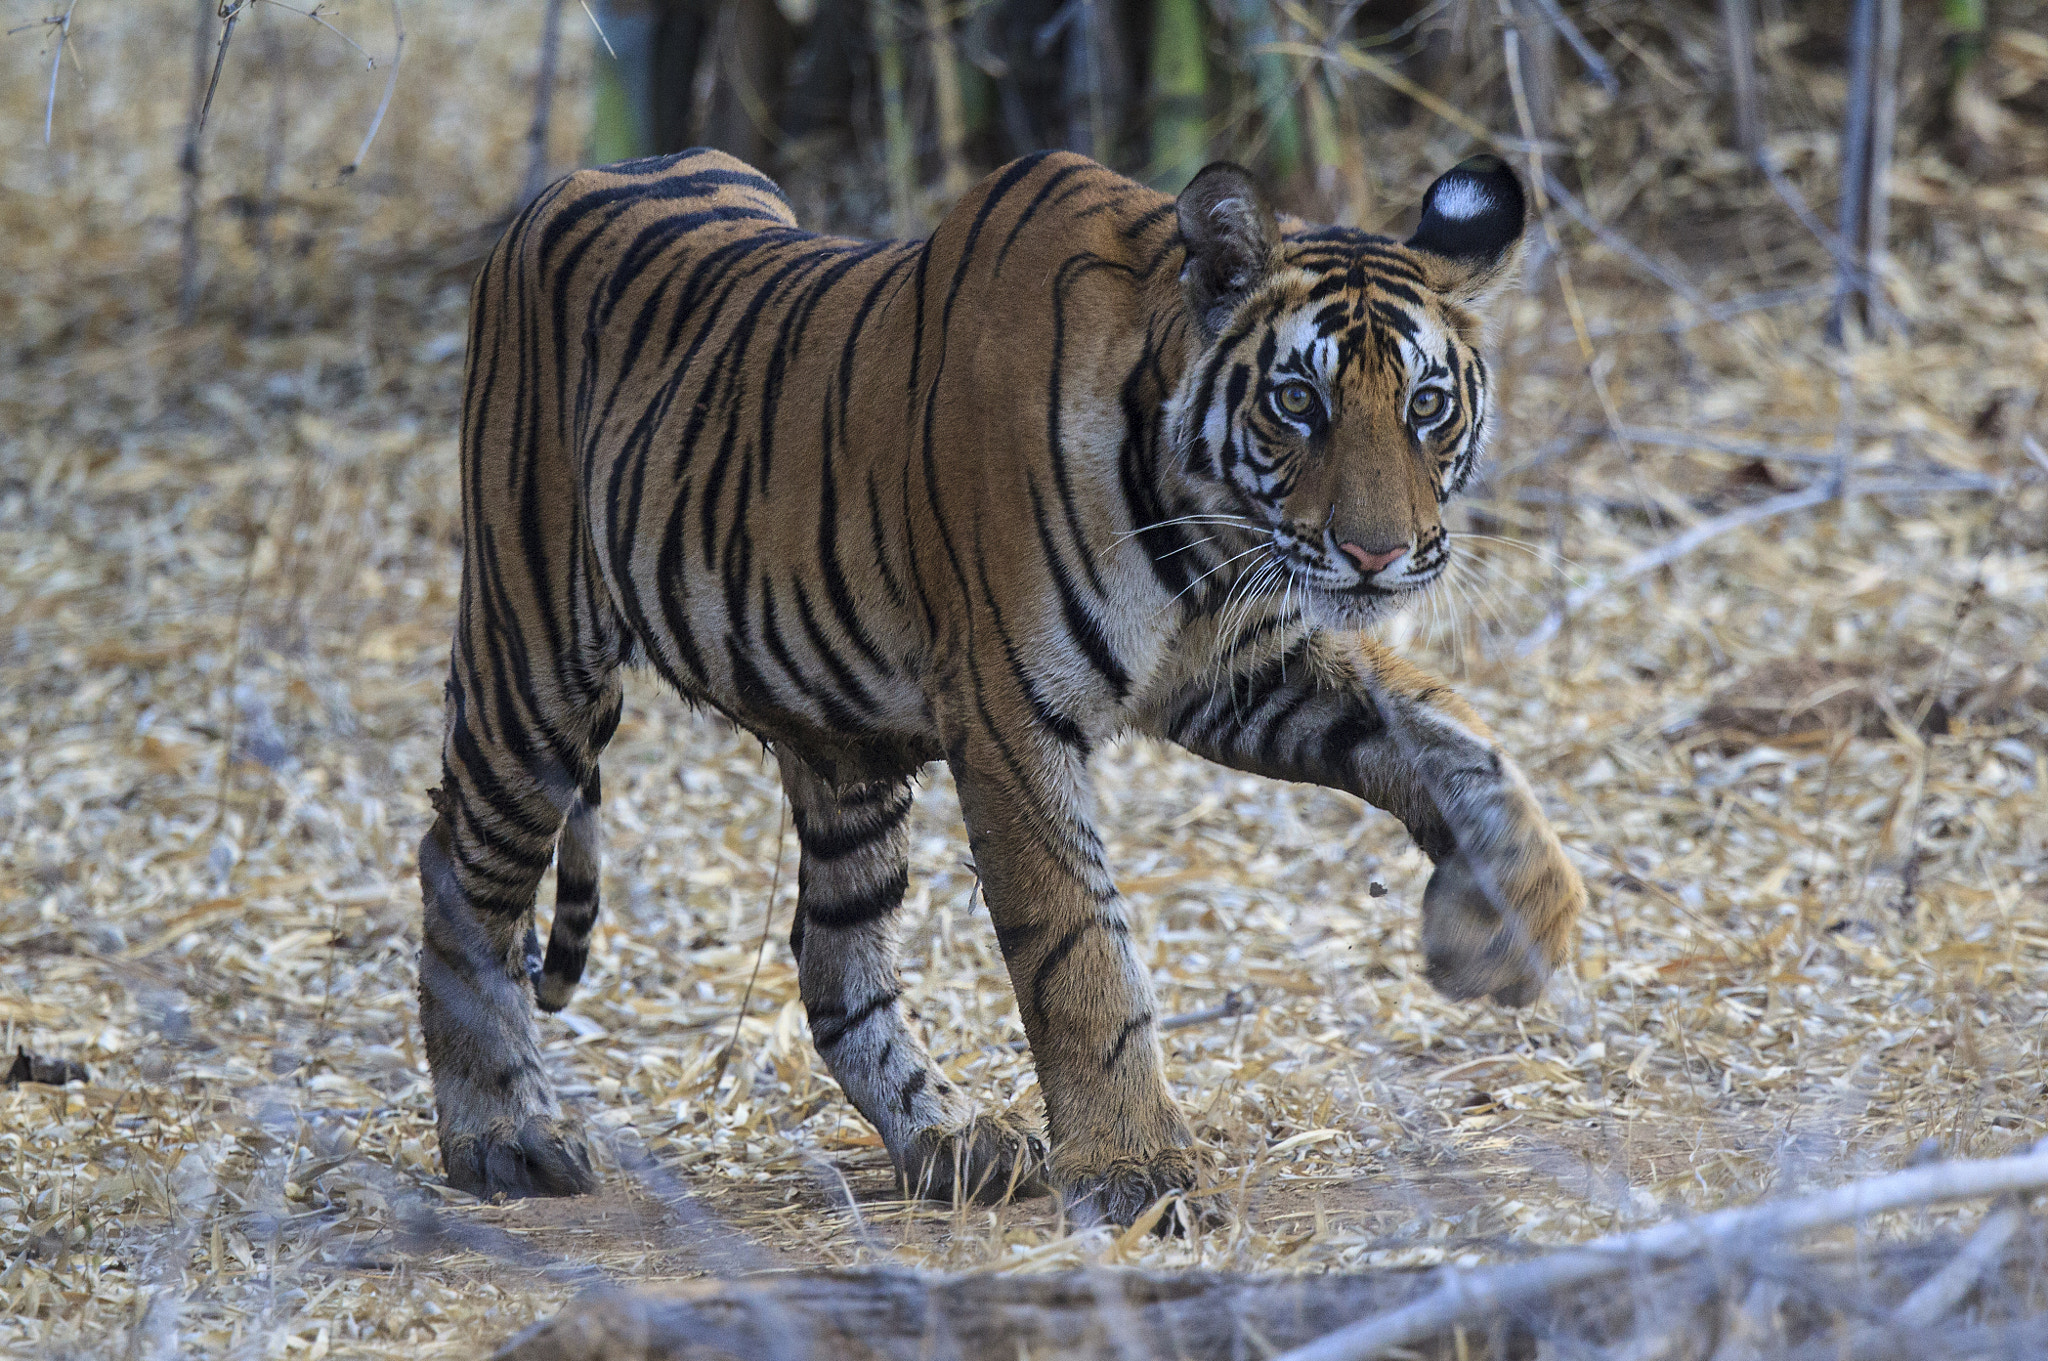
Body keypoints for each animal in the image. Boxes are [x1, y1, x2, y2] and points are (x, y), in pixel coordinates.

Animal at [419, 146, 1581, 1219]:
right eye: (1298, 400)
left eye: (1427, 405)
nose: (1379, 555)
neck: (1199, 527)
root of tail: (590, 173)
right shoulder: (1013, 716)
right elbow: (1078, 947)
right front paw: (1133, 1167)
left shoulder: (1244, 665)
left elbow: (1449, 732)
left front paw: (1504, 930)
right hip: (533, 661)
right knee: (459, 876)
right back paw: (504, 1137)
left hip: (839, 747)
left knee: (831, 956)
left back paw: (948, 1140)